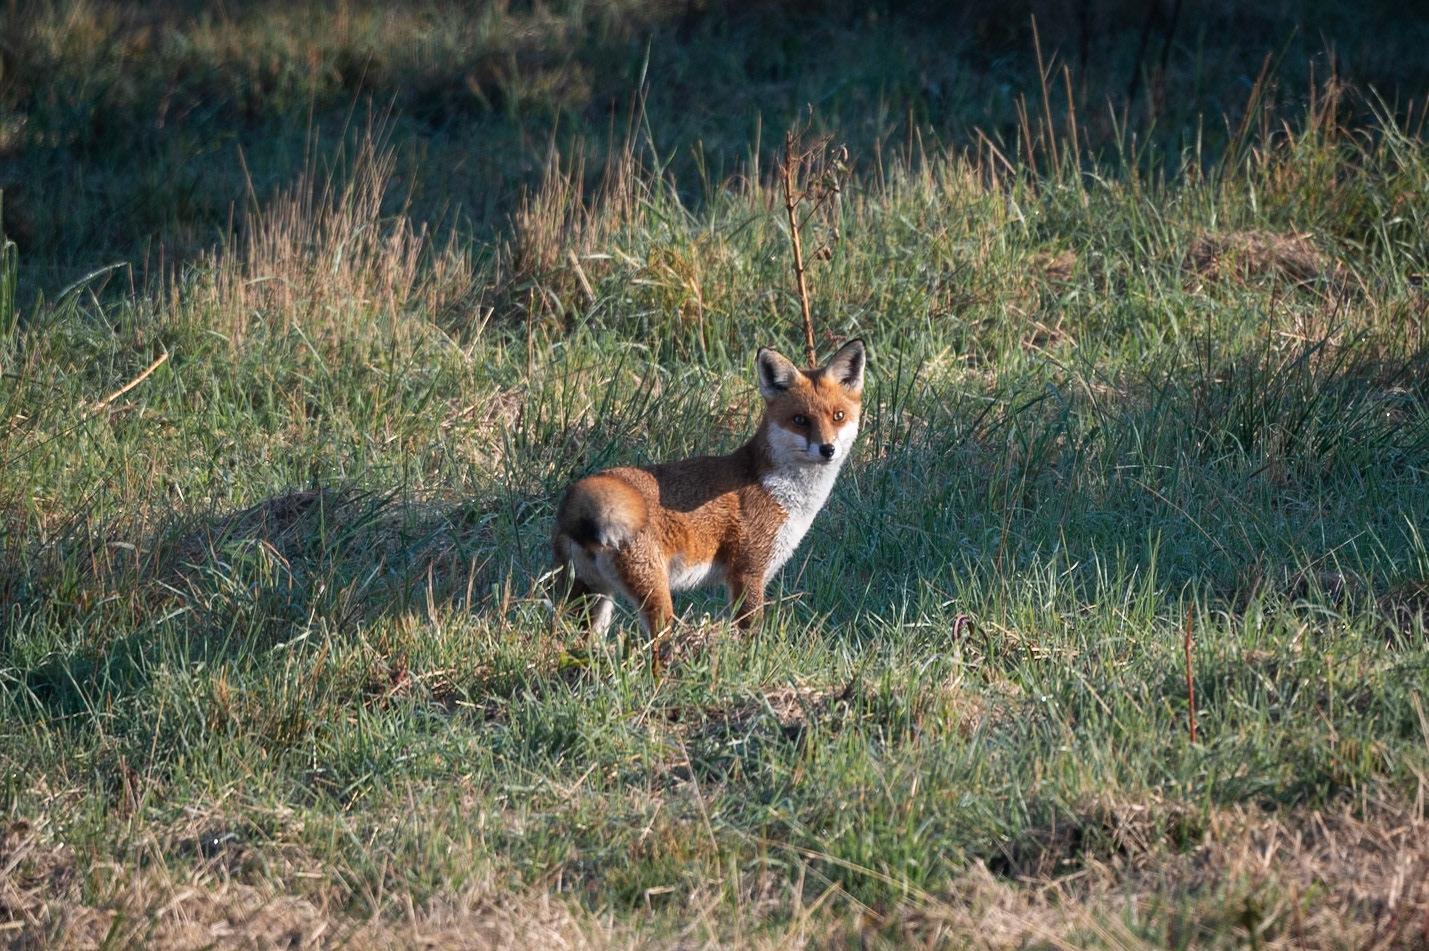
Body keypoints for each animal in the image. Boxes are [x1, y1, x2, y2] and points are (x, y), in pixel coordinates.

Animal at [551, 339, 866, 673]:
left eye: (838, 416)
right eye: (800, 420)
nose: (827, 449)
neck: (777, 489)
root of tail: (580, 499)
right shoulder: (747, 573)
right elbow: (750, 637)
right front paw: (750, 670)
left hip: (591, 599)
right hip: (655, 599)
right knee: (657, 650)